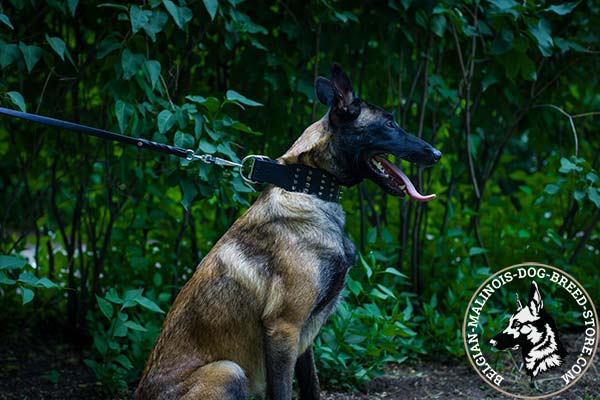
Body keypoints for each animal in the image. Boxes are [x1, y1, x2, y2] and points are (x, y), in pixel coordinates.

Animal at [137, 64, 446, 398]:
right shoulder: (284, 327)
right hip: (229, 370)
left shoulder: (303, 335)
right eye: (389, 123)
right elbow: (284, 390)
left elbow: (311, 384)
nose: (437, 153)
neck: (309, 188)